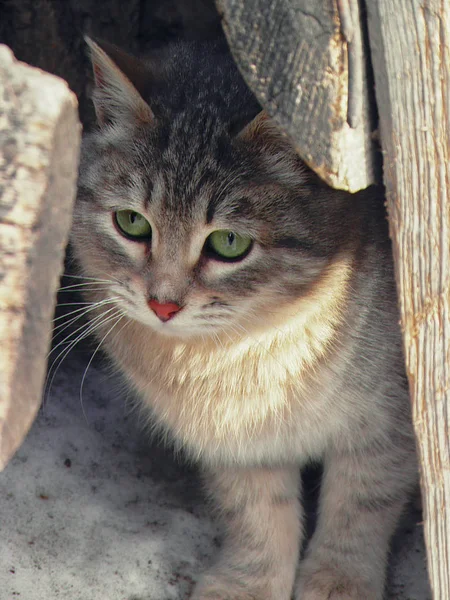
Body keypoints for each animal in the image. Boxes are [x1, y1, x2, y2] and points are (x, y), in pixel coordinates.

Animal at [70, 36, 418, 600]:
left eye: (228, 242)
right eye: (131, 222)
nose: (162, 304)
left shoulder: (386, 427)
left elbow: (360, 506)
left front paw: (338, 578)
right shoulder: (237, 449)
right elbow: (257, 515)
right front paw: (249, 582)